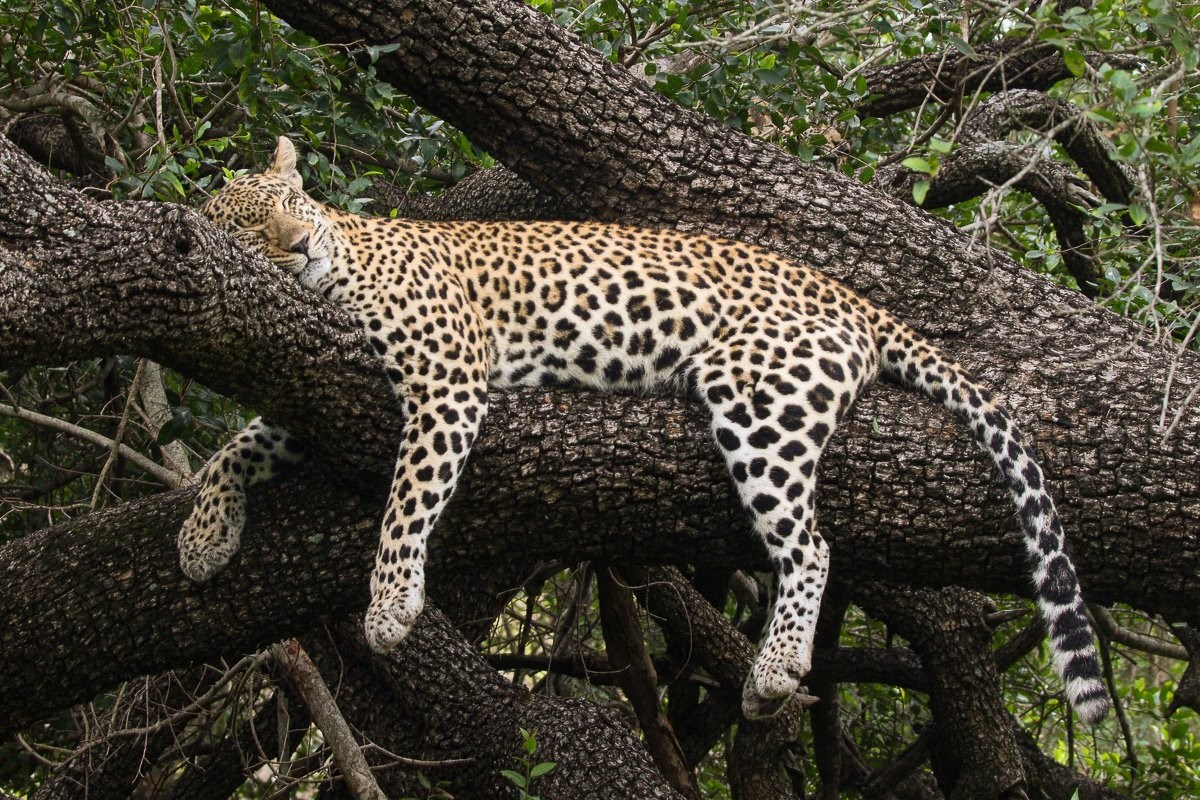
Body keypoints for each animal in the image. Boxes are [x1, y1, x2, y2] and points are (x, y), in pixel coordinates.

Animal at [179, 136, 1109, 723]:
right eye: (250, 227)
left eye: (293, 202)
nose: (300, 248)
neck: (344, 261)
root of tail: (849, 294)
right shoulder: (315, 392)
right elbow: (239, 443)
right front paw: (201, 537)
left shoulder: (445, 379)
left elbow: (405, 503)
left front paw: (390, 607)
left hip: (759, 395)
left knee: (811, 545)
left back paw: (774, 671)